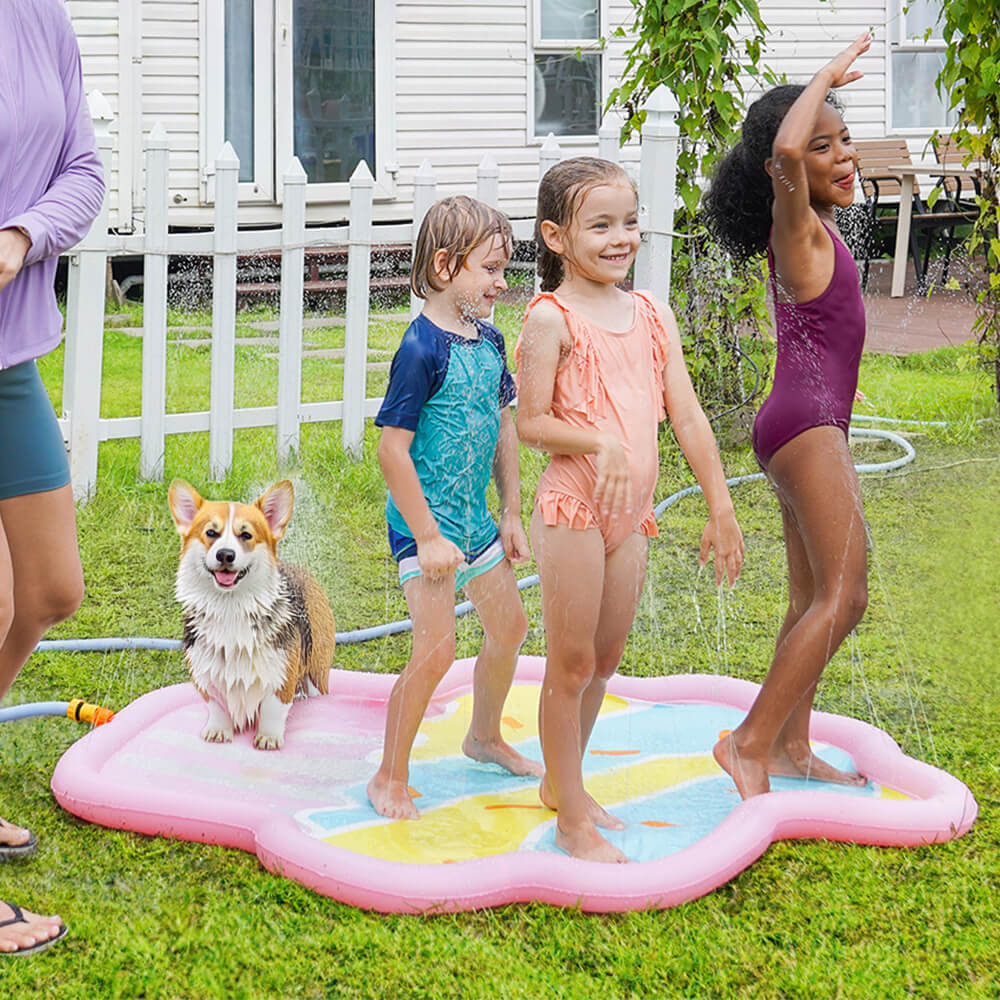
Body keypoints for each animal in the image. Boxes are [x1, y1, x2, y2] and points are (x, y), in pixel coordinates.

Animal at [166, 478, 334, 752]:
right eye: (211, 533)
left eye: (246, 535)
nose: (225, 554)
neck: (230, 607)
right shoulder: (205, 675)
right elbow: (216, 706)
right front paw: (218, 731)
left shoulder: (282, 673)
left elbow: (273, 709)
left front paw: (268, 738)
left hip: (318, 668)